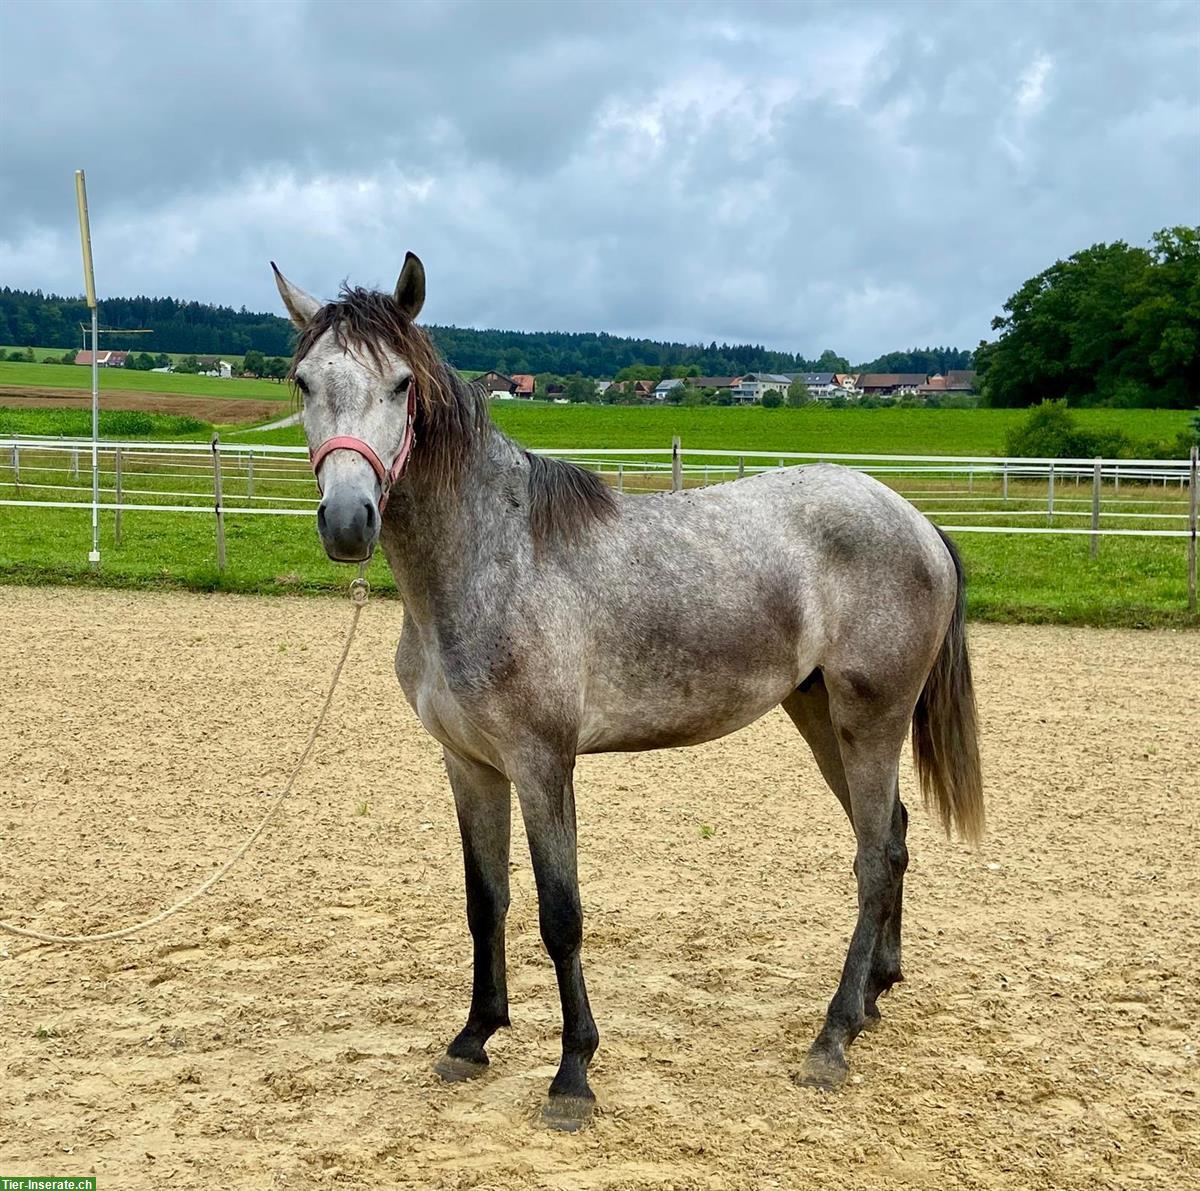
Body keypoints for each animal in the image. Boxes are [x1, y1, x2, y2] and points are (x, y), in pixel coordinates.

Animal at [274, 255, 984, 1128]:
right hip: (820, 715)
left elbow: (560, 913)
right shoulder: (470, 765)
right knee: (894, 836)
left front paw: (572, 1072)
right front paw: (473, 1037)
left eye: (402, 384)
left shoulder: (543, 763)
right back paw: (877, 992)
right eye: (304, 380)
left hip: (870, 718)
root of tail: (917, 522)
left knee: (875, 858)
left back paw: (833, 1035)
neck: (493, 559)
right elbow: (485, 901)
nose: (348, 519)